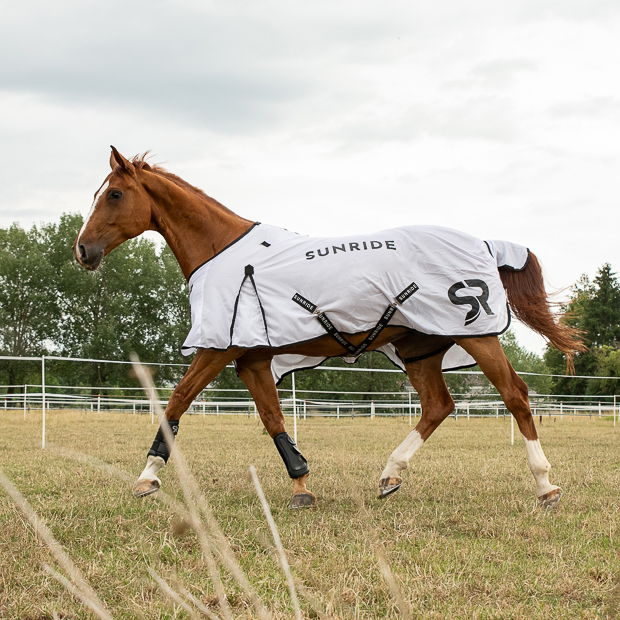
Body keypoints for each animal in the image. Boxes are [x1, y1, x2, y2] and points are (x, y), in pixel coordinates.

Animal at [75, 145, 584, 508]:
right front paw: (301, 486)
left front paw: (147, 477)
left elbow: (177, 400)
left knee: (515, 396)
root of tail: (486, 243)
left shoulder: (218, 349)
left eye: (114, 194)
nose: (82, 250)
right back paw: (390, 474)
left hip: (475, 336)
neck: (225, 252)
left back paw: (545, 486)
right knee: (438, 405)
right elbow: (273, 419)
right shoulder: (253, 360)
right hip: (419, 350)